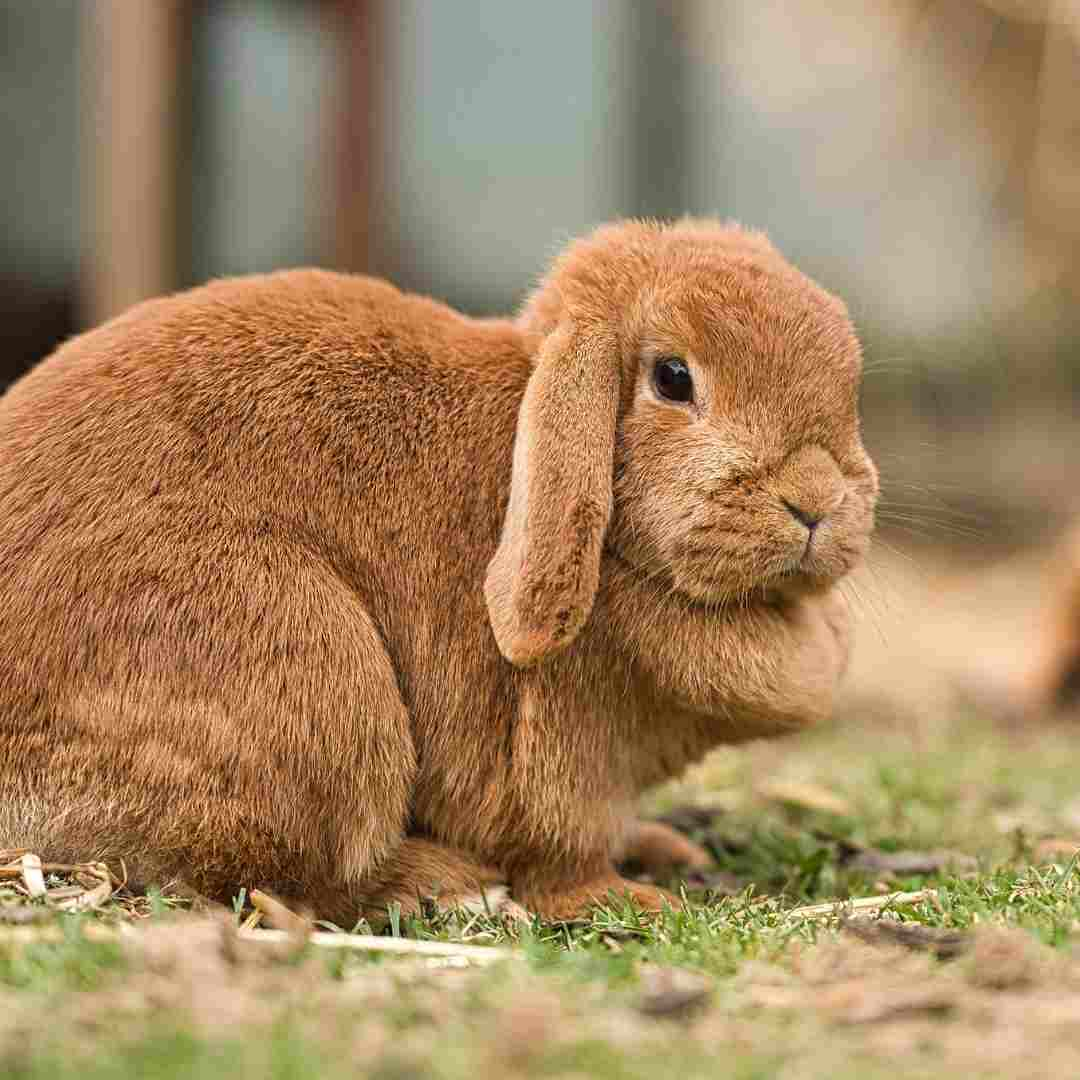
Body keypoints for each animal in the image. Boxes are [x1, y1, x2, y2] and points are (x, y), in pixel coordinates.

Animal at [0, 219, 876, 920]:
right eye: (672, 377)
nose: (816, 500)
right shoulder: (561, 765)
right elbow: (562, 855)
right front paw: (629, 899)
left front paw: (665, 851)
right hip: (311, 676)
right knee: (291, 877)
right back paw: (445, 883)